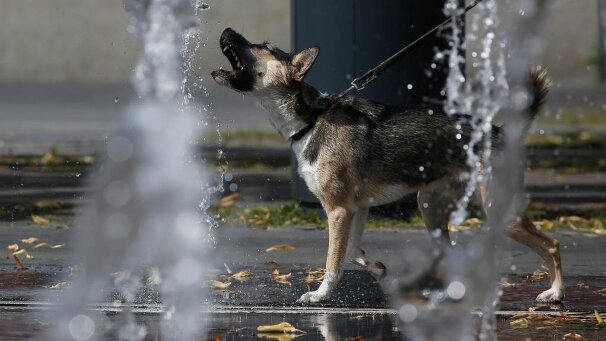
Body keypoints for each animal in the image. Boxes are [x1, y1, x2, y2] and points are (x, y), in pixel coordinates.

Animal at [213, 26, 564, 302]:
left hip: (500, 211)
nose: (227, 29)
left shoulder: (338, 211)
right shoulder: (356, 209)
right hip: (430, 206)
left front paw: (320, 296)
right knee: (453, 253)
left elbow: (333, 263)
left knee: (552, 245)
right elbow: (352, 252)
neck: (311, 120)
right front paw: (378, 269)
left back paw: (555, 293)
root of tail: (502, 132)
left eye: (265, 47)